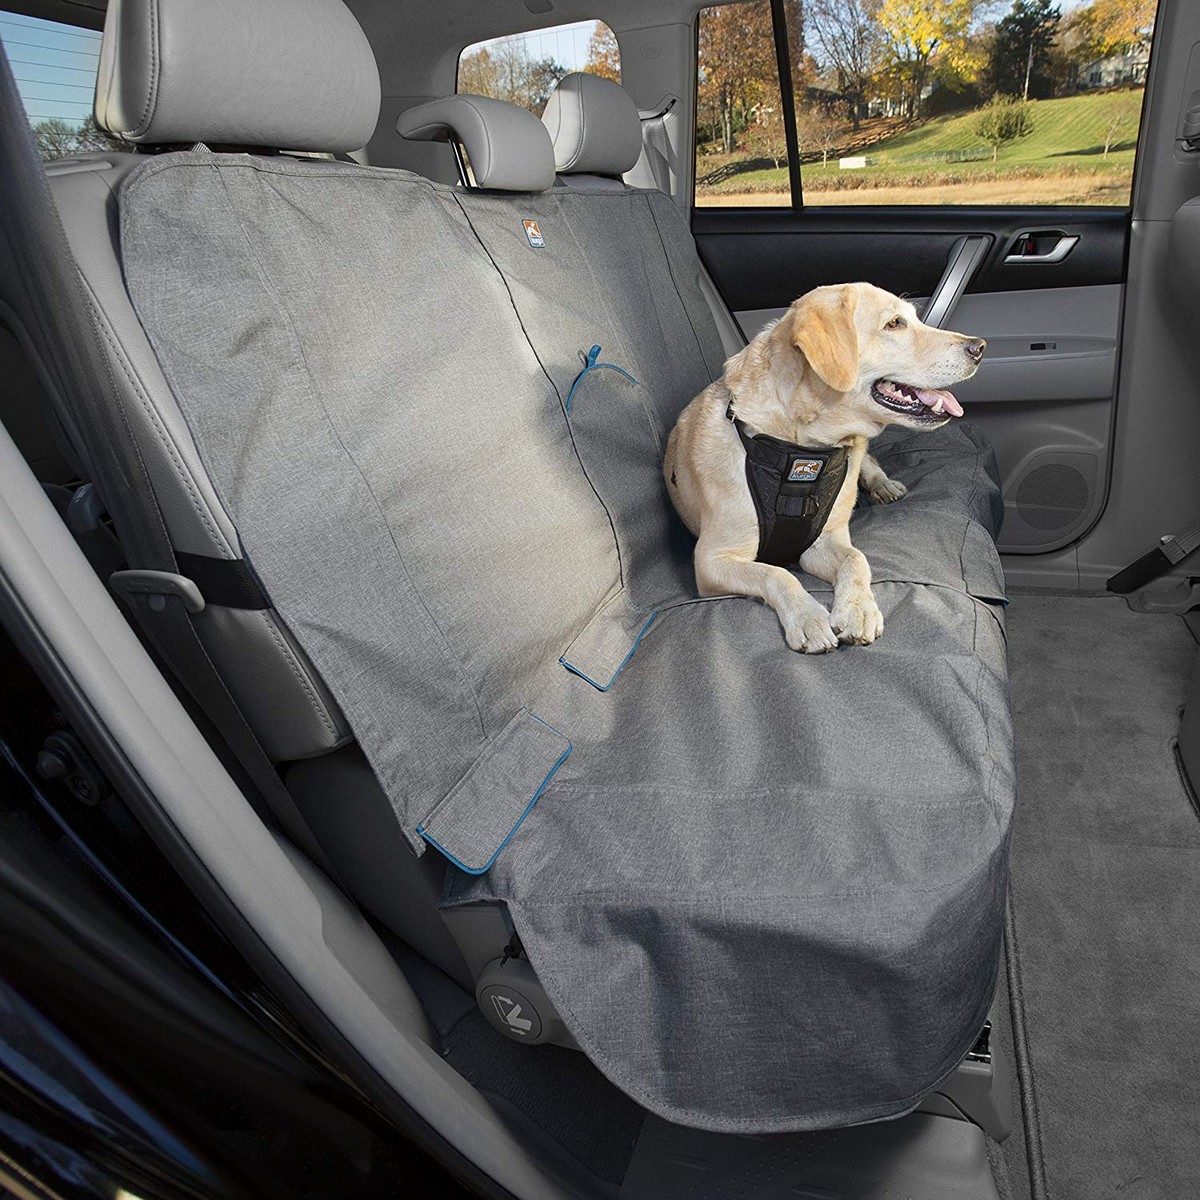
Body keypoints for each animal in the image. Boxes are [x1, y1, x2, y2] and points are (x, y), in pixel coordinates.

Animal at [667, 279, 984, 652]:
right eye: (894, 324)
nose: (979, 347)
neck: (801, 449)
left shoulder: (824, 541)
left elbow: (856, 559)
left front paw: (859, 609)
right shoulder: (711, 561)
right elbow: (776, 573)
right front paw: (808, 617)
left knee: (868, 461)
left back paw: (883, 484)